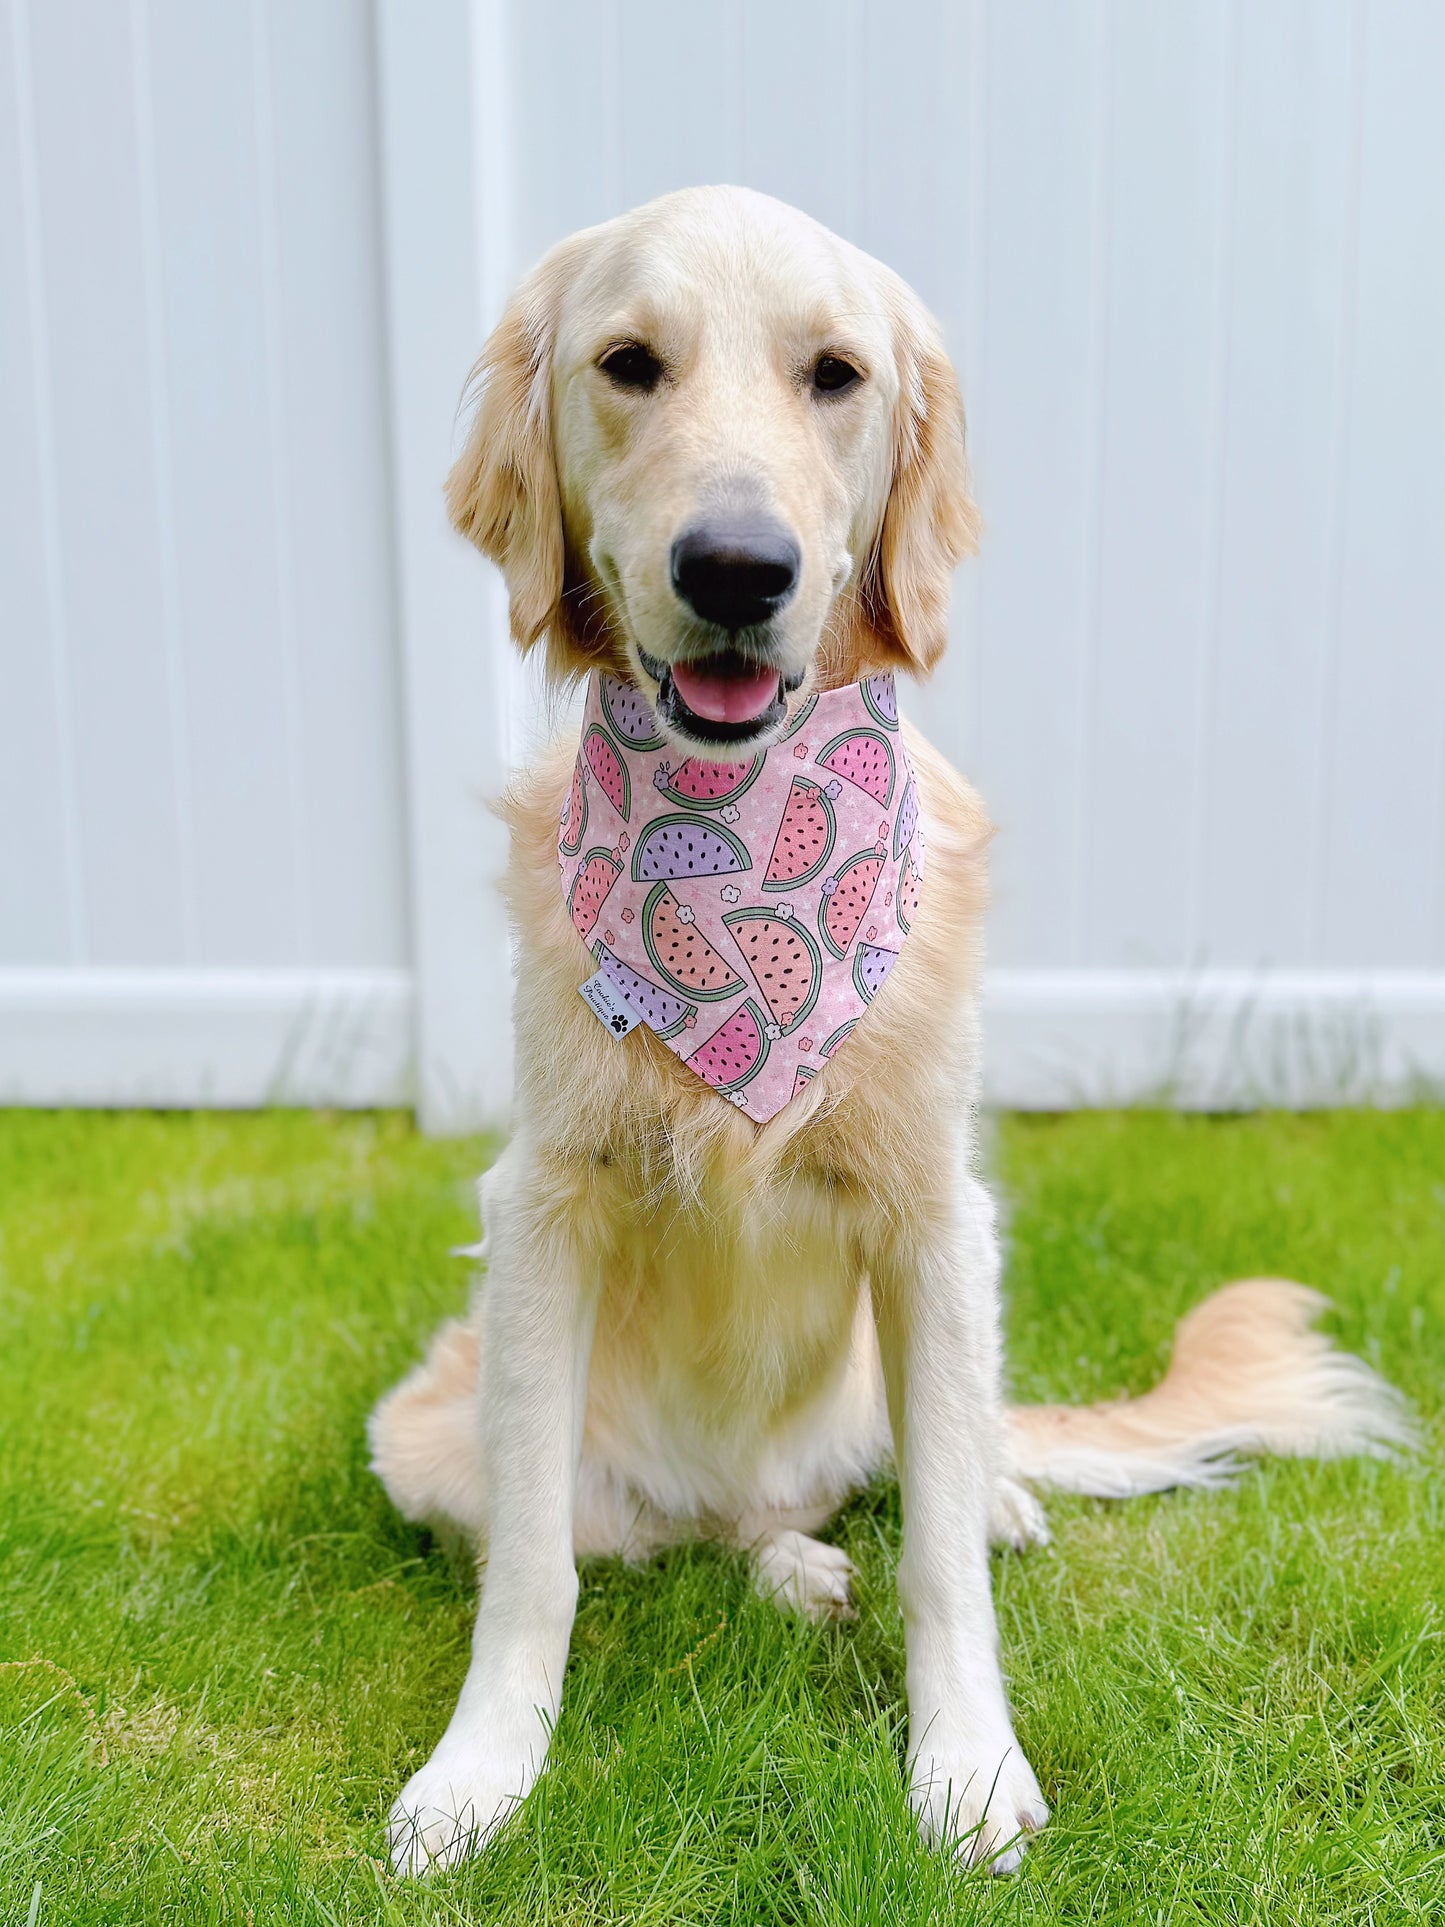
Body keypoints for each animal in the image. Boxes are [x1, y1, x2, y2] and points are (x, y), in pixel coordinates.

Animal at [364, 187, 1418, 1873]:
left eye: (835, 375)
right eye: (627, 362)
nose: (737, 567)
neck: (737, 835)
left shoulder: (937, 1213)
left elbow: (938, 1563)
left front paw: (968, 1762)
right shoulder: (539, 1207)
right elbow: (532, 1563)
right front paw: (480, 1774)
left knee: (926, 1468)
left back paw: (974, 1502)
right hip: (424, 1426)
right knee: (687, 1529)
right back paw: (789, 1564)